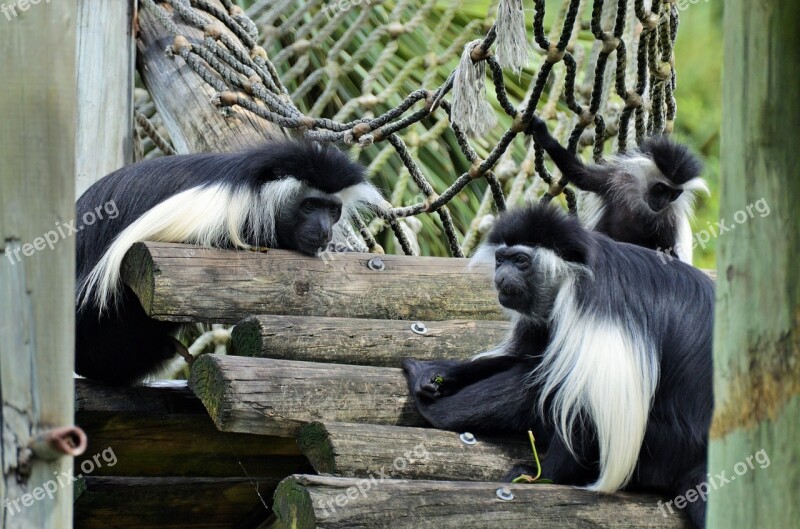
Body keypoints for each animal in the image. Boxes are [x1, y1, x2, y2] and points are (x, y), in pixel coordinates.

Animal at [406, 204, 712, 524]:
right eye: (501, 259)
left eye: (520, 260)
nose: (501, 276)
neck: (572, 272)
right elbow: (527, 356)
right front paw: (438, 373)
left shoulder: (587, 303)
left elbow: (587, 402)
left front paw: (544, 475)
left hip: (661, 446)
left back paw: (440, 416)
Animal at [528, 116, 708, 262]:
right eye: (661, 189)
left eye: (674, 194)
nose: (662, 202)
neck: (640, 199)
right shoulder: (616, 178)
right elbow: (583, 176)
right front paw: (542, 133)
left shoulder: (669, 217)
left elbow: (670, 253)